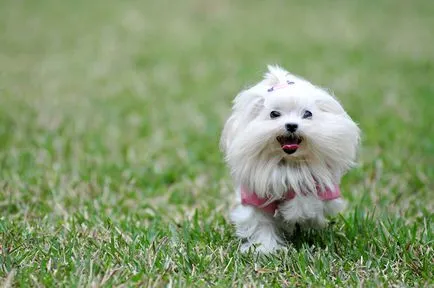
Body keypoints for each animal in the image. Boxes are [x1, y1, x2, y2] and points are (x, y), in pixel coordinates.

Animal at [220, 65, 360, 252]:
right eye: (274, 114)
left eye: (307, 114)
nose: (292, 125)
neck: (289, 162)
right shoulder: (255, 199)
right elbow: (261, 225)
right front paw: (266, 250)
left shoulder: (324, 191)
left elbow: (305, 196)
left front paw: (294, 212)